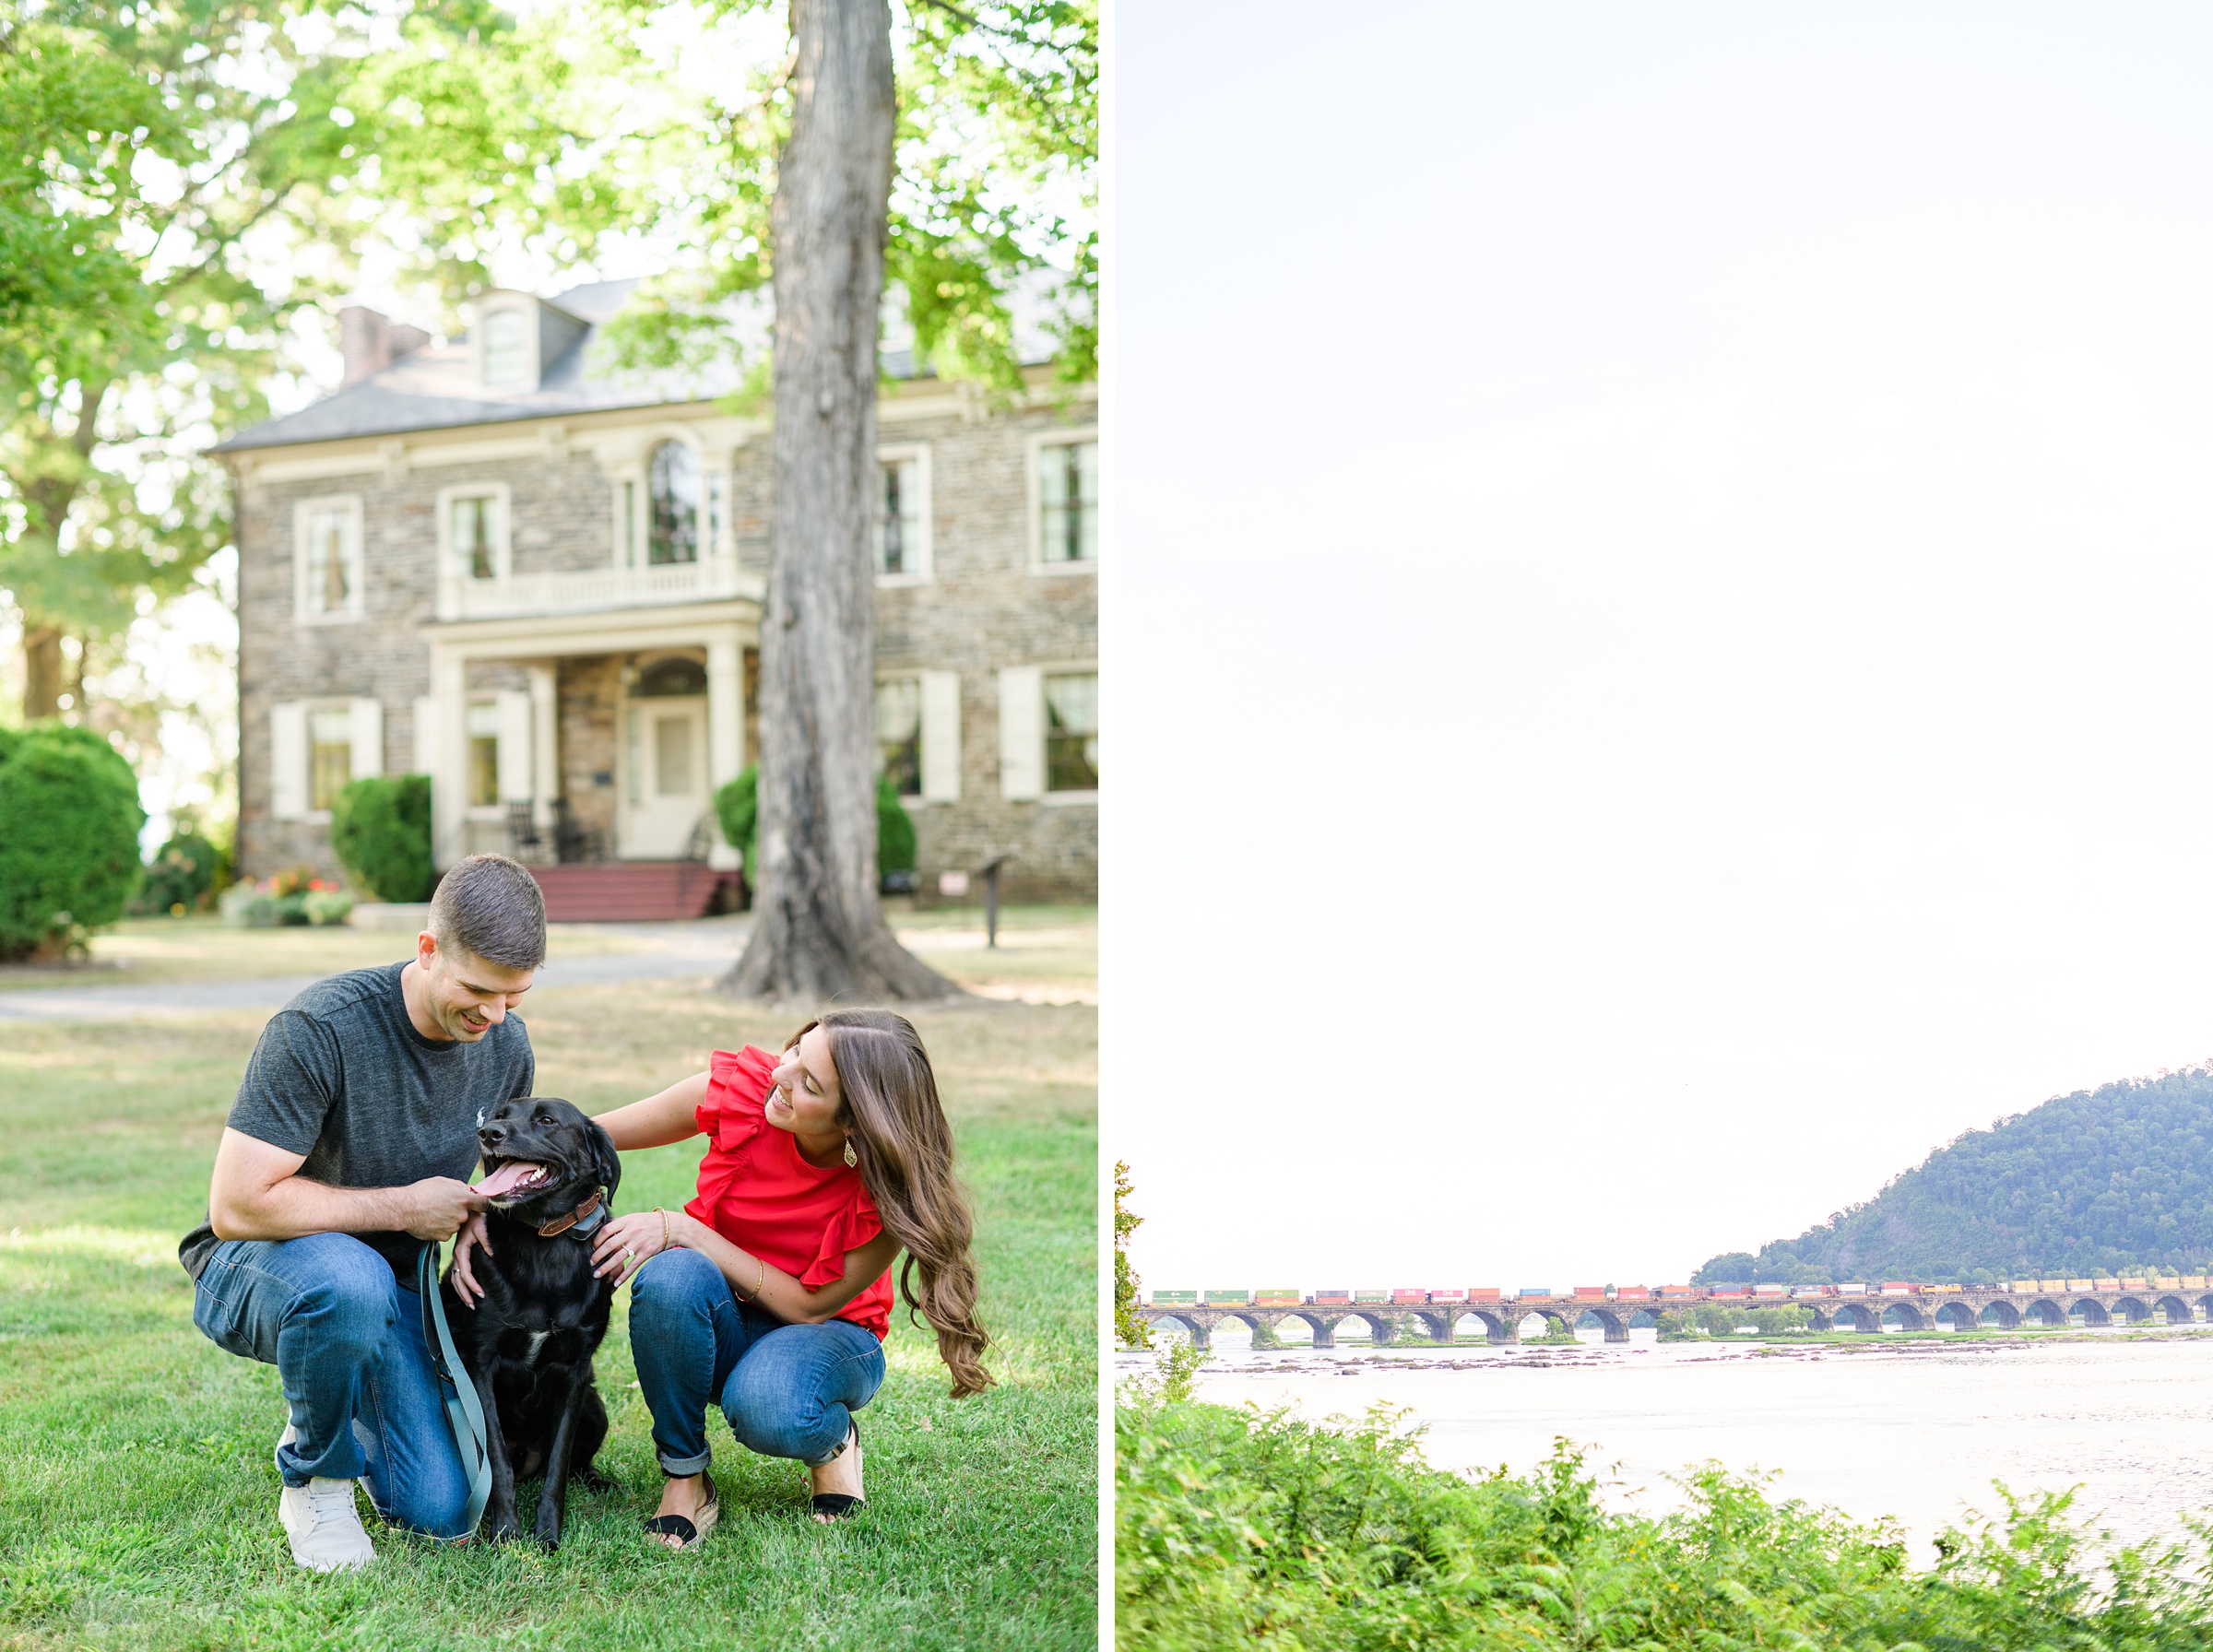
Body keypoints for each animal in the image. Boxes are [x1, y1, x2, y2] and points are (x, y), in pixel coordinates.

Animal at [438, 1096, 620, 1548]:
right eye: (498, 1115)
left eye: (547, 1120)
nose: (488, 1134)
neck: (544, 1240)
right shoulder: (479, 1367)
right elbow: (497, 1462)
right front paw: (506, 1532)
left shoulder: (575, 1374)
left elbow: (558, 1465)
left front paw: (548, 1535)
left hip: (595, 1408)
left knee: (575, 1464)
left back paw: (598, 1481)